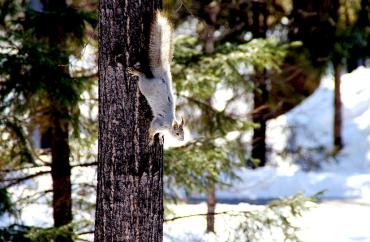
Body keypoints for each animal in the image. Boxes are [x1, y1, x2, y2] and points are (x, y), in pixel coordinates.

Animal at [128, 10, 184, 144]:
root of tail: (162, 79)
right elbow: (152, 128)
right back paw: (136, 72)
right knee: (142, 77)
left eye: (183, 133)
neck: (169, 124)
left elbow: (160, 133)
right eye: (177, 133)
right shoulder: (159, 122)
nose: (182, 140)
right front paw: (150, 137)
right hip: (145, 86)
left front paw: (160, 137)